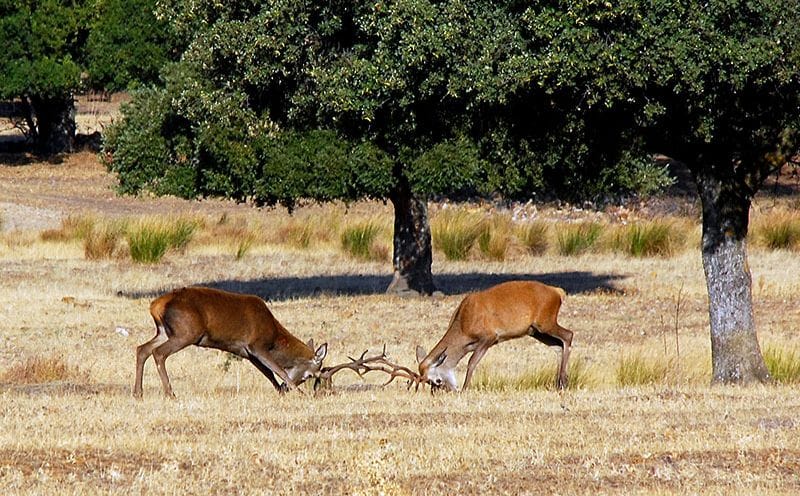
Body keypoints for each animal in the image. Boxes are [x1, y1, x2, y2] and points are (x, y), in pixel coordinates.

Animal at [133, 286, 326, 400]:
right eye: (310, 375)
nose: (287, 390)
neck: (274, 337)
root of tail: (156, 306)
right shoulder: (257, 345)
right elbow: (279, 371)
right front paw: (300, 393)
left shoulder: (246, 352)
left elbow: (269, 374)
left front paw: (280, 391)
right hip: (185, 333)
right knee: (158, 353)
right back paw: (170, 394)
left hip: (164, 332)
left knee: (142, 349)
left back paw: (138, 393)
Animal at [416, 280, 572, 394]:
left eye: (437, 380)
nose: (442, 391)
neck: (463, 325)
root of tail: (558, 292)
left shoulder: (489, 337)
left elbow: (471, 362)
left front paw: (465, 389)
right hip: (535, 331)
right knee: (558, 345)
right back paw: (558, 382)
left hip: (545, 322)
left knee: (568, 335)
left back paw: (563, 383)